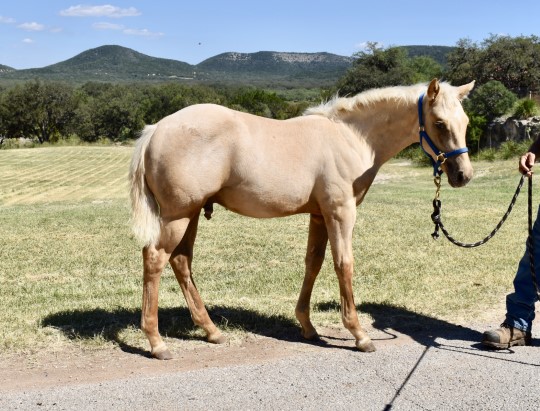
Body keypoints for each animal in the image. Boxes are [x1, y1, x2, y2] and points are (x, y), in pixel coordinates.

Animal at [129, 79, 474, 358]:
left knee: (181, 261)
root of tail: (156, 129)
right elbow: (344, 265)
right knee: (155, 259)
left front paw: (307, 326)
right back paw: (157, 342)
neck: (351, 137)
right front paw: (359, 334)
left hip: (191, 214)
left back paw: (212, 331)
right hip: (177, 216)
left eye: (466, 121)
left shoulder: (320, 216)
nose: (463, 176)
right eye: (440, 123)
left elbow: (314, 263)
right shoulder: (340, 212)